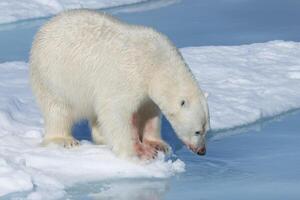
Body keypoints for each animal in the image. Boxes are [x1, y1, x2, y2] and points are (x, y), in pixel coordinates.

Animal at [29, 9, 210, 159]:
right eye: (197, 131)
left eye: (206, 129)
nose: (202, 151)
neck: (155, 62)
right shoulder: (126, 77)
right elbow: (115, 112)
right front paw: (139, 152)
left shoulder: (147, 90)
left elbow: (149, 112)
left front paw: (157, 144)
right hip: (54, 76)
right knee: (58, 109)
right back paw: (65, 140)